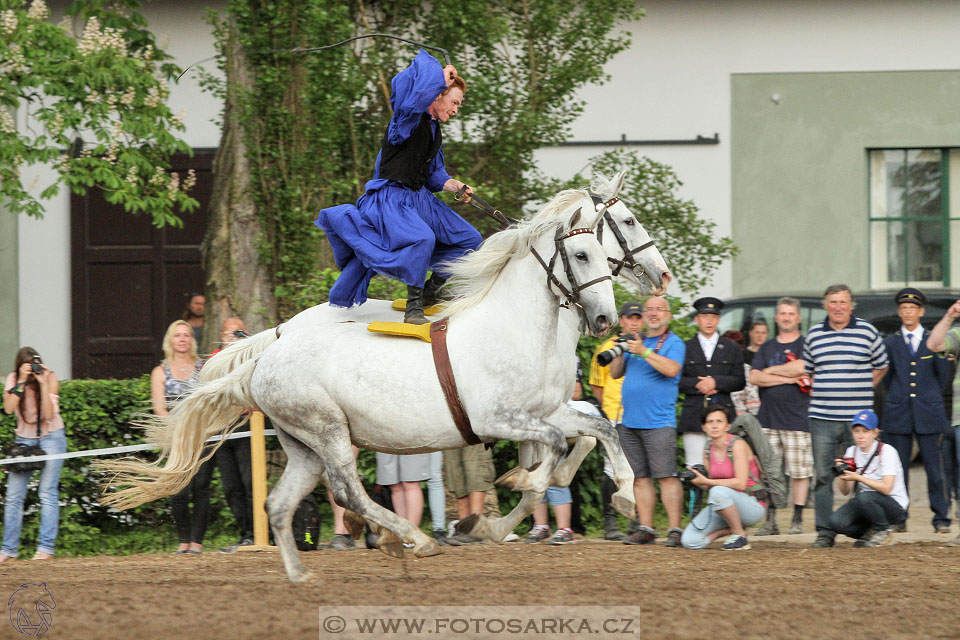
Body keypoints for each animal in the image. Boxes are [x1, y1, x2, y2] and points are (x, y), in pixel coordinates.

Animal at [105, 206, 628, 584]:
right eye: (581, 255)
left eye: (604, 253)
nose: (606, 320)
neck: (515, 327)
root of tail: (266, 355)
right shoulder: (498, 419)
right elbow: (552, 455)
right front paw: (508, 496)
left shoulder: (548, 409)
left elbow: (596, 429)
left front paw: (620, 494)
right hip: (329, 432)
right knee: (347, 492)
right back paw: (413, 539)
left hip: (303, 446)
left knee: (280, 504)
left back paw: (303, 575)